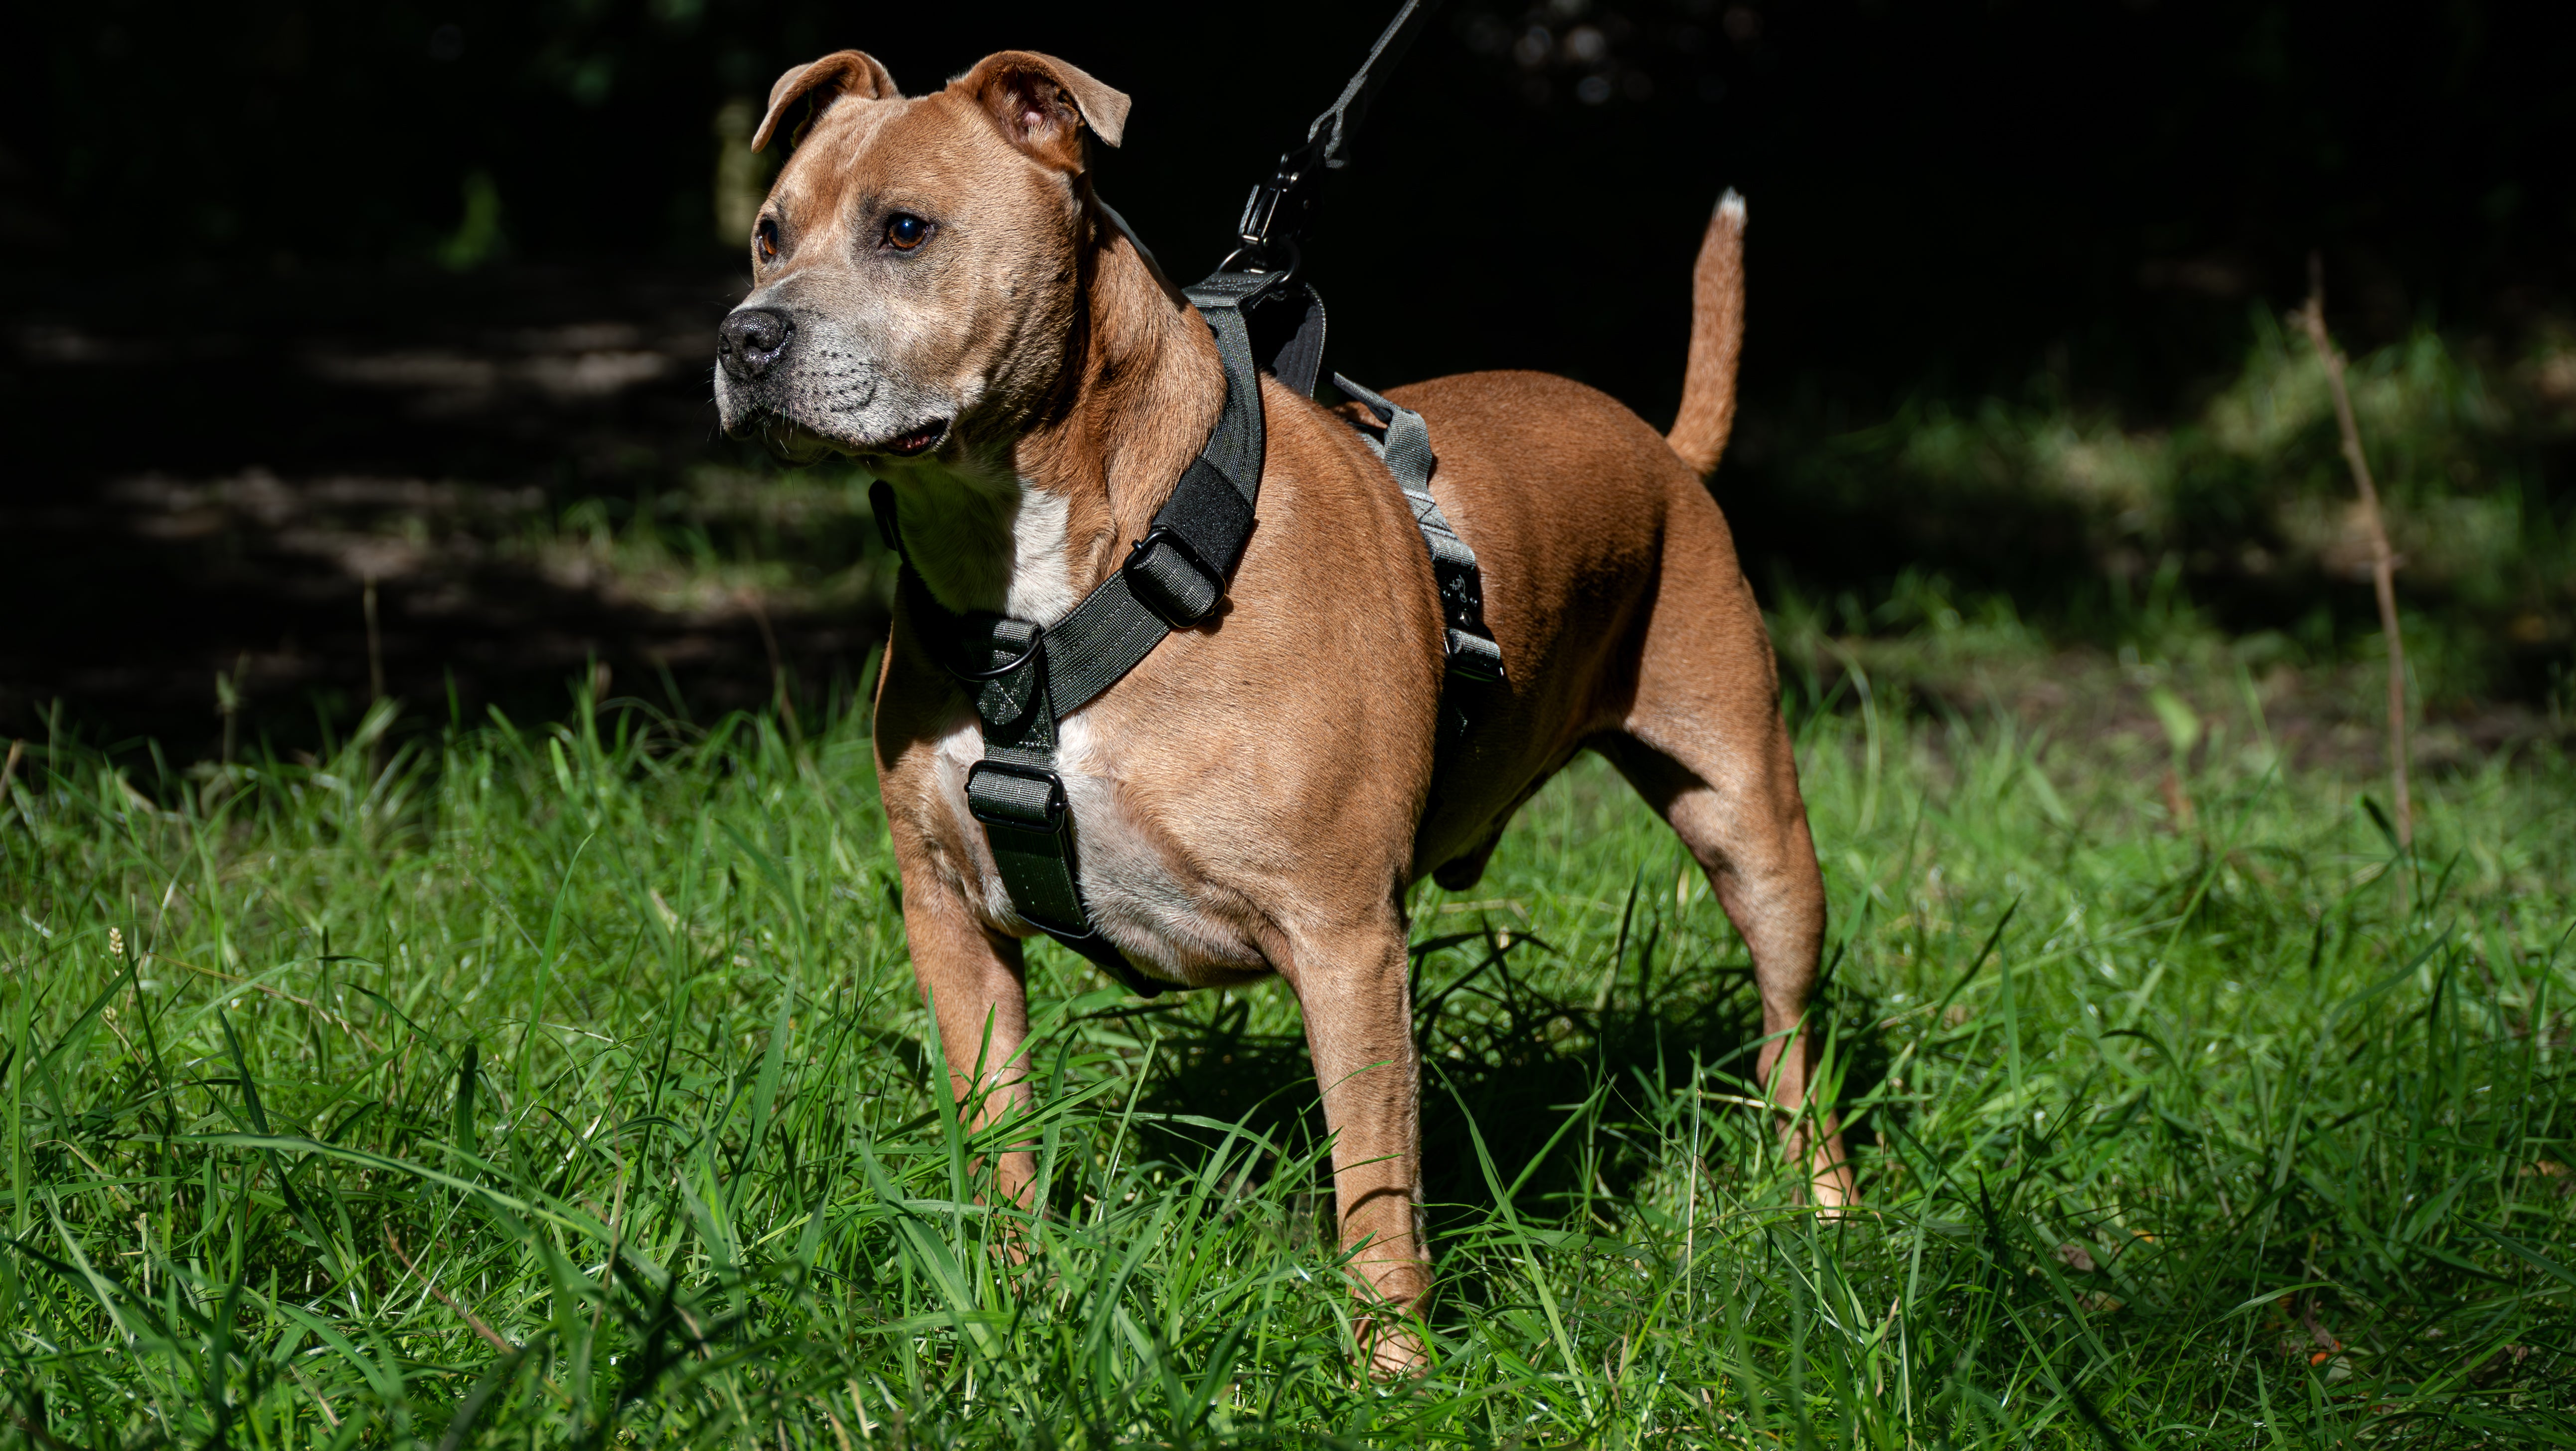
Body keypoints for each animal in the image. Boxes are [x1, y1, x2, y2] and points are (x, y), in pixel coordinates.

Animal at [716, 45, 1854, 1381]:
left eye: (905, 230)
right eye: (768, 235)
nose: (746, 337)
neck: (1048, 582)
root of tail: (1663, 449)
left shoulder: (1346, 939)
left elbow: (1374, 1181)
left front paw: (1394, 1371)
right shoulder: (950, 918)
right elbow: (999, 1141)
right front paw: (1008, 1308)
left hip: (1756, 826)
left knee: (1790, 1036)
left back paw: (1826, 1213)